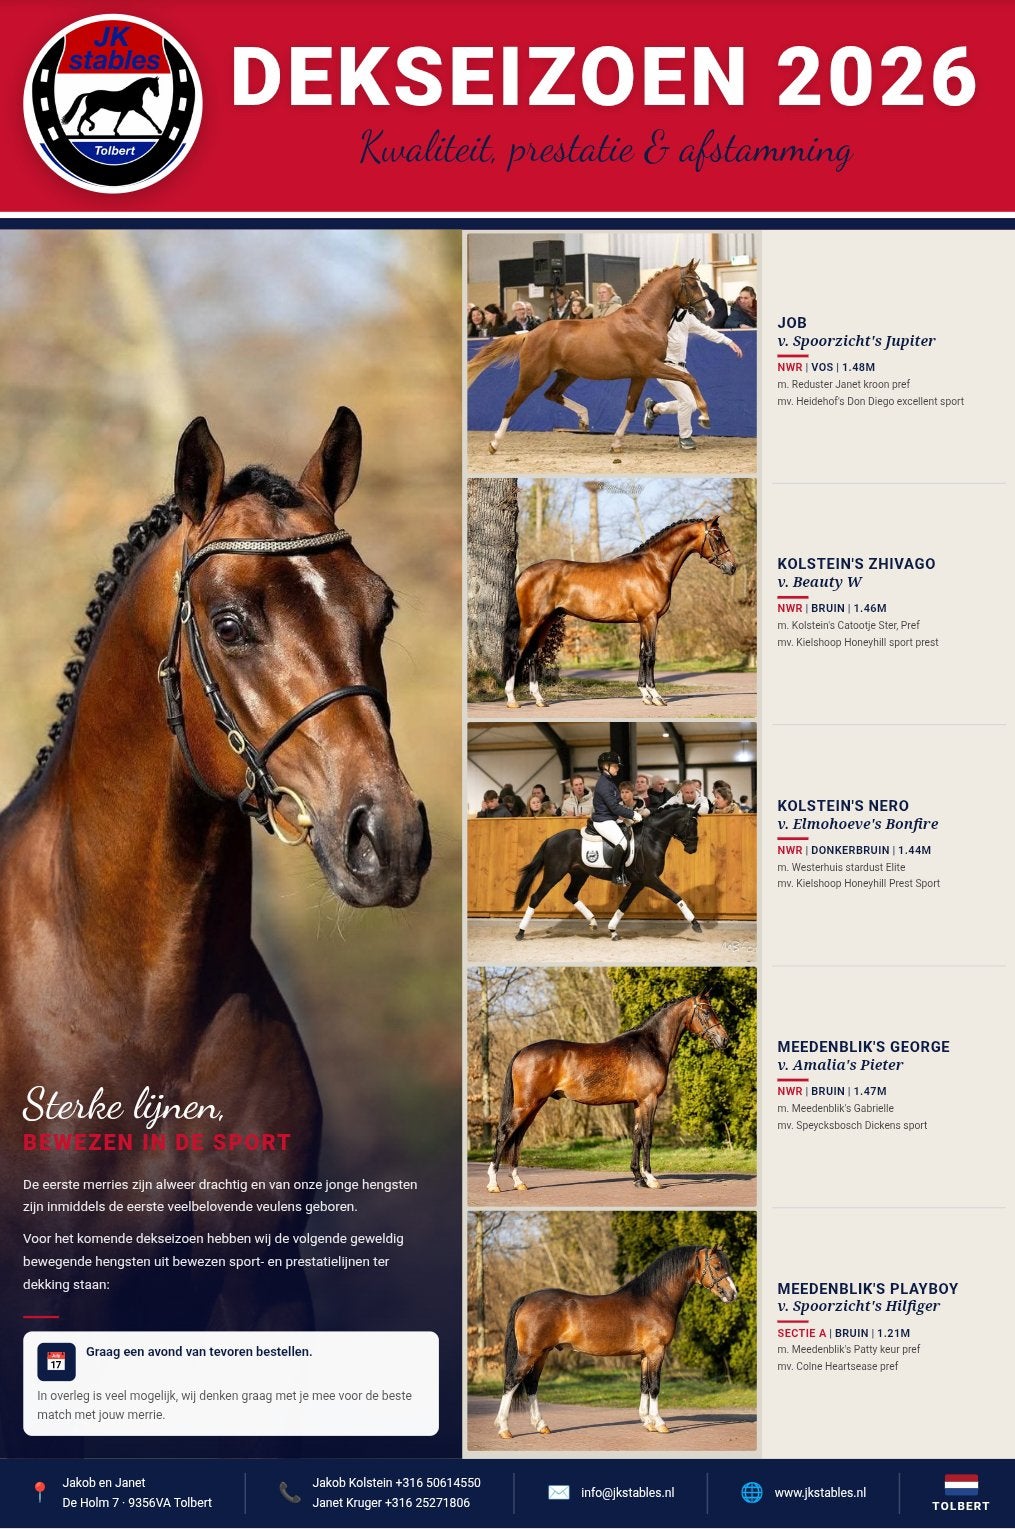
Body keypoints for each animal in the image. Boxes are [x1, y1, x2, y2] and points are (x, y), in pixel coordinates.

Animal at [468, 260, 712, 454]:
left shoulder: (640, 374)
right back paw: (494, 444)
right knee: (512, 403)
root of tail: (529, 334)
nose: (709, 312)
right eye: (692, 284)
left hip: (567, 374)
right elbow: (690, 379)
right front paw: (704, 416)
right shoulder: (651, 366)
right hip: (532, 376)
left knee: (552, 394)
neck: (644, 320)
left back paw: (584, 419)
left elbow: (631, 407)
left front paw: (616, 443)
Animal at [488, 995, 729, 1193]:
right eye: (706, 1012)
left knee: (518, 1136)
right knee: (505, 1132)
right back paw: (493, 1183)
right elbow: (647, 1136)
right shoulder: (649, 1100)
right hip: (526, 1104)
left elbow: (636, 1136)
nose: (724, 1039)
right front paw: (651, 1178)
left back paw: (519, 1182)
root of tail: (522, 1051)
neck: (650, 1046)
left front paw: (637, 1178)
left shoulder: (638, 1103)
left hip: (534, 1105)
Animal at [494, 1244, 738, 1438]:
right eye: (717, 1266)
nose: (733, 1293)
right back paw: (504, 1428)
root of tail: (527, 1298)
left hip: (542, 1353)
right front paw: (660, 1423)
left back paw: (541, 1425)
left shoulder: (645, 1354)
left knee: (532, 1385)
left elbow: (644, 1385)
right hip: (530, 1354)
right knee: (512, 1381)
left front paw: (647, 1421)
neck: (655, 1299)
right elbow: (655, 1387)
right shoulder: (657, 1351)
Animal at [506, 515, 737, 708]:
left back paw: (539, 699)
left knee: (534, 654)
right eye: (718, 537)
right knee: (517, 652)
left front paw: (645, 695)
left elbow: (642, 654)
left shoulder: (643, 621)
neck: (654, 567)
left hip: (546, 621)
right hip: (531, 622)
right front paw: (656, 697)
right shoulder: (650, 619)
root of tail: (525, 573)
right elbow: (650, 655)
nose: (732, 567)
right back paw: (512, 699)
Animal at [514, 801, 700, 942]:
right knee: (536, 897)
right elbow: (675, 897)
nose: (693, 849)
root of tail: (550, 839)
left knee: (570, 894)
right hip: (554, 874)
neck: (651, 839)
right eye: (691, 824)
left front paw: (612, 930)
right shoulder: (650, 879)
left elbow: (624, 905)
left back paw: (593, 921)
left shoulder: (639, 882)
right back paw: (520, 933)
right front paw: (695, 924)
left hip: (580, 874)